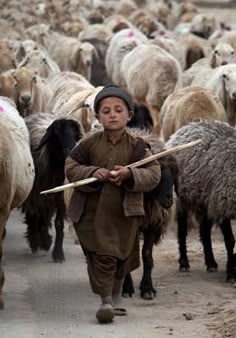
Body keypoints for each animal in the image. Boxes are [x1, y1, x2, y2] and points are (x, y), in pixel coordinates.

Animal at [22, 112, 83, 262]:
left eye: (74, 133)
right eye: (57, 133)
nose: (69, 151)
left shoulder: (60, 198)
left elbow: (59, 224)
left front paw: (58, 253)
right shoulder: (37, 195)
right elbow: (37, 216)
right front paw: (38, 241)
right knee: (36, 215)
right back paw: (37, 240)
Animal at [166, 120, 236, 282]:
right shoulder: (221, 204)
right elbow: (230, 240)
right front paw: (231, 274)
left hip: (204, 200)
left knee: (204, 231)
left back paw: (211, 263)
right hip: (182, 199)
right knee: (182, 232)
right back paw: (184, 263)